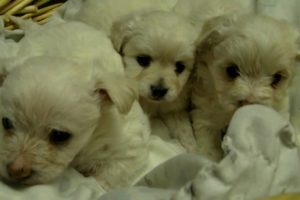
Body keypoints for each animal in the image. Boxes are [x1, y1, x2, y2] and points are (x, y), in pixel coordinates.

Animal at [0, 56, 150, 189]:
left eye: (59, 136)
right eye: (6, 122)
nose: (15, 171)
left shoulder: (130, 149)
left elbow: (111, 173)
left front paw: (98, 182)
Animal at [110, 10, 199, 152]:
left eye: (180, 67)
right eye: (143, 60)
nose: (159, 90)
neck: (154, 104)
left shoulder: (174, 108)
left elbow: (183, 127)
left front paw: (192, 147)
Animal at [192, 14, 300, 161]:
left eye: (277, 78)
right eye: (231, 71)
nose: (249, 102)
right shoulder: (206, 112)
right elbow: (208, 141)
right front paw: (210, 160)